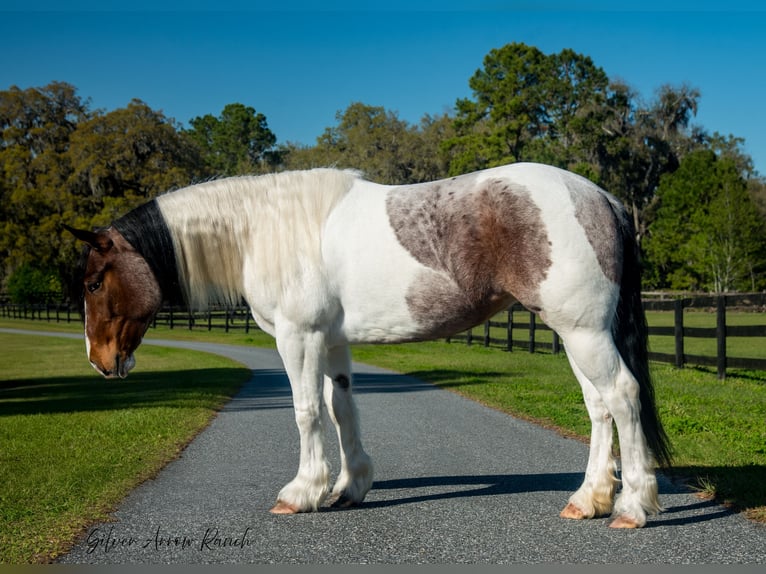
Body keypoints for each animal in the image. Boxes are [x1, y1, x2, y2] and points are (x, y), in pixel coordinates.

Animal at [69, 162, 676, 532]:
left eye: (95, 283)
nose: (99, 361)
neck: (265, 230)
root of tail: (601, 197)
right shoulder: (331, 342)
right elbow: (341, 408)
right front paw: (348, 487)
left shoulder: (298, 338)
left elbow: (306, 411)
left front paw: (302, 492)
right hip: (575, 334)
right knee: (599, 407)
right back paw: (588, 500)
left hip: (584, 332)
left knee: (623, 397)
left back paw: (632, 506)